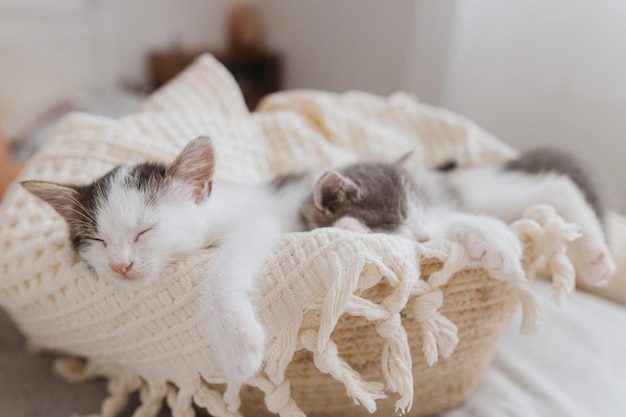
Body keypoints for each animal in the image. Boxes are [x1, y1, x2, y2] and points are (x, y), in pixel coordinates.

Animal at [22, 136, 314, 384]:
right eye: (97, 240)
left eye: (145, 230)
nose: (120, 265)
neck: (212, 212)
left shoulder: (256, 219)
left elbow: (227, 264)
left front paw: (237, 344)